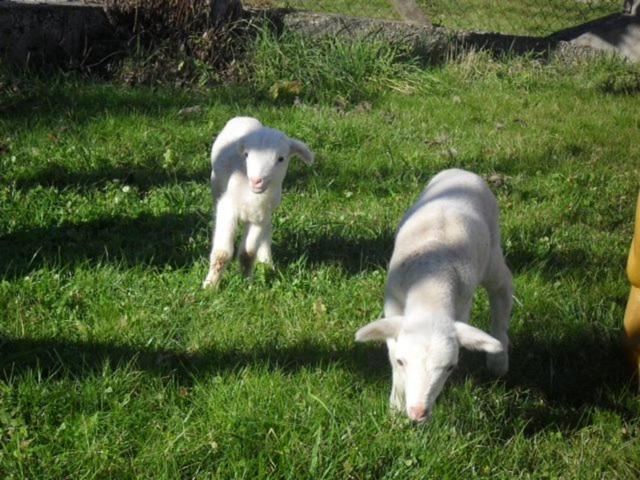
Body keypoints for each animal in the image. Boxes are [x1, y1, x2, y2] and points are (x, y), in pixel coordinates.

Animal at [202, 116, 316, 288]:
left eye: (281, 158)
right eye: (247, 155)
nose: (256, 181)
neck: (251, 197)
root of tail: (245, 117)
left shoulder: (259, 218)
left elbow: (248, 253)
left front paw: (247, 283)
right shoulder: (227, 210)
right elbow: (222, 254)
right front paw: (210, 286)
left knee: (267, 230)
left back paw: (267, 263)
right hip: (216, 188)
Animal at [358, 170, 512, 424]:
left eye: (450, 367)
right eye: (402, 361)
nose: (418, 413)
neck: (430, 285)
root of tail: (462, 171)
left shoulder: (461, 307)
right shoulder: (393, 305)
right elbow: (392, 354)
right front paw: (396, 406)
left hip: (492, 252)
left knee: (502, 290)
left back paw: (499, 360)